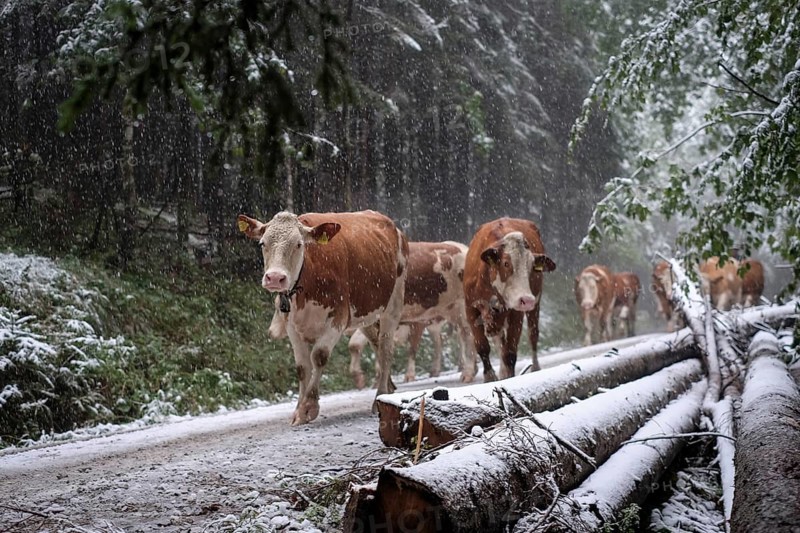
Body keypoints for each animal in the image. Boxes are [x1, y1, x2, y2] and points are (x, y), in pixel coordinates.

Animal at [238, 210, 408, 425]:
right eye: (262, 243)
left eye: (298, 244)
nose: (275, 277)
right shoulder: (292, 324)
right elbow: (302, 367)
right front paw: (298, 411)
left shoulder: (338, 318)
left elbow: (318, 356)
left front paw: (309, 407)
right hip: (365, 314)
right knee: (377, 344)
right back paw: (388, 390)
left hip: (393, 305)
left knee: (386, 349)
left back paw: (379, 398)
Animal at [463, 218, 556, 382]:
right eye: (506, 263)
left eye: (531, 266)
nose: (527, 299)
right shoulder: (470, 309)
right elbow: (482, 346)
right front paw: (490, 376)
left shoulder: (516, 312)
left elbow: (510, 353)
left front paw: (509, 377)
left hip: (535, 304)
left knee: (533, 334)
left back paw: (535, 367)